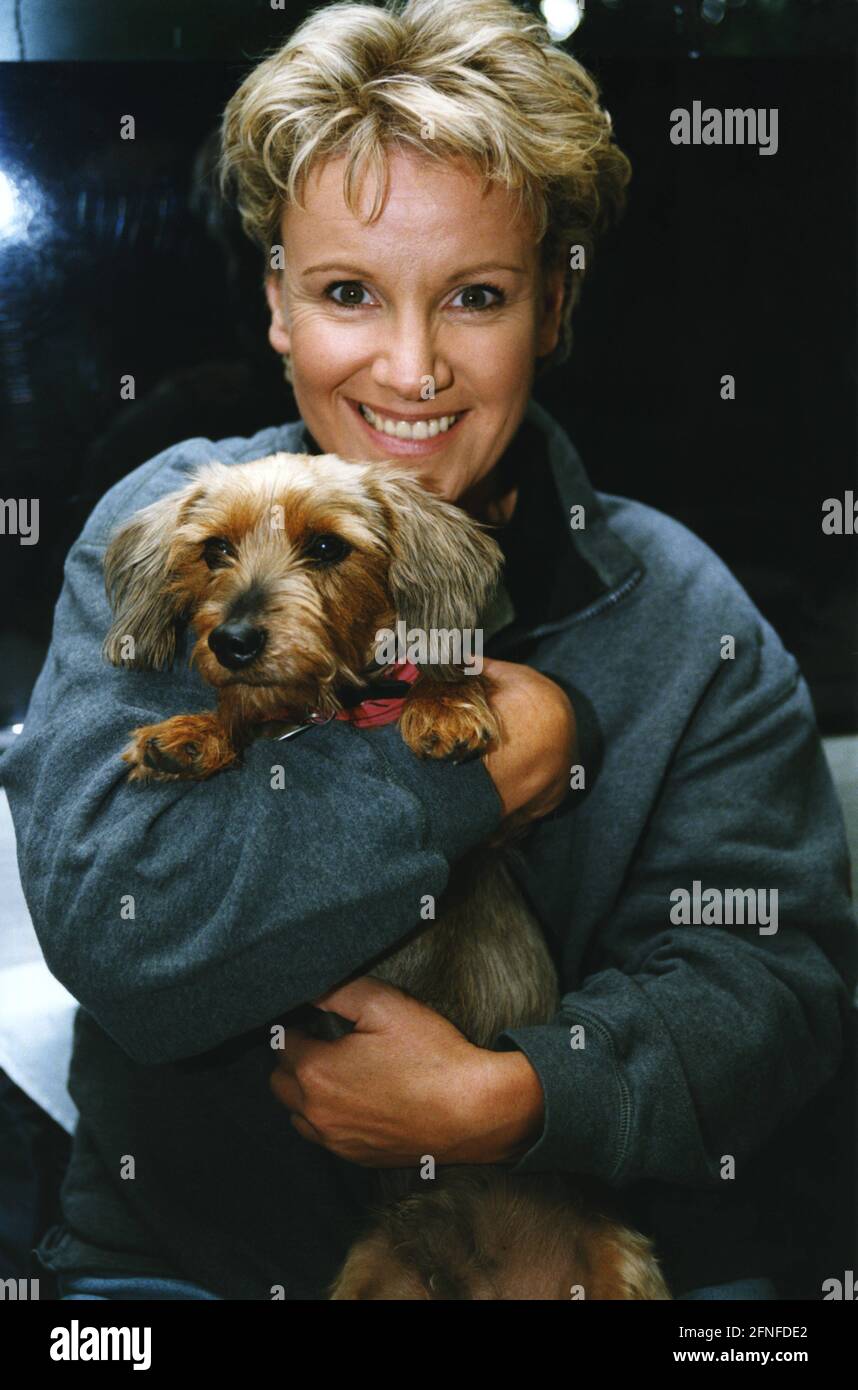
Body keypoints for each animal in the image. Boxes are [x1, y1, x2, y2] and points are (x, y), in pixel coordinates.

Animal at [102, 450, 670, 1295]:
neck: (335, 705)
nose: (234, 641)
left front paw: (445, 705)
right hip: (375, 1270)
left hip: (620, 1259)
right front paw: (199, 731)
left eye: (327, 548)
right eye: (214, 550)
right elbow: (249, 711)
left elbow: (441, 668)